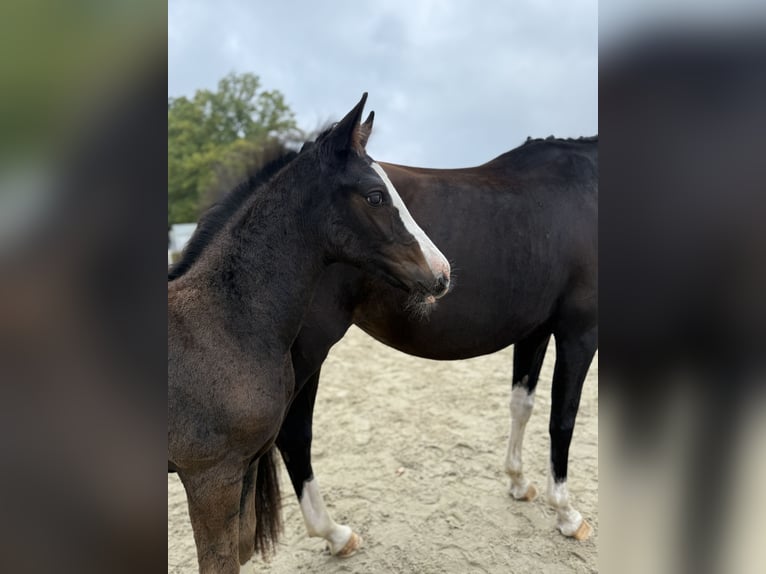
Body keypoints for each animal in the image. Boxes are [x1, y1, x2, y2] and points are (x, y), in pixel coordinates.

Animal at [272, 134, 599, 553]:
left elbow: (521, 406)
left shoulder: (535, 331)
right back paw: (333, 533)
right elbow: (563, 420)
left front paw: (518, 482)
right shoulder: (579, 332)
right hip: (308, 353)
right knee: (293, 435)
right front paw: (567, 514)